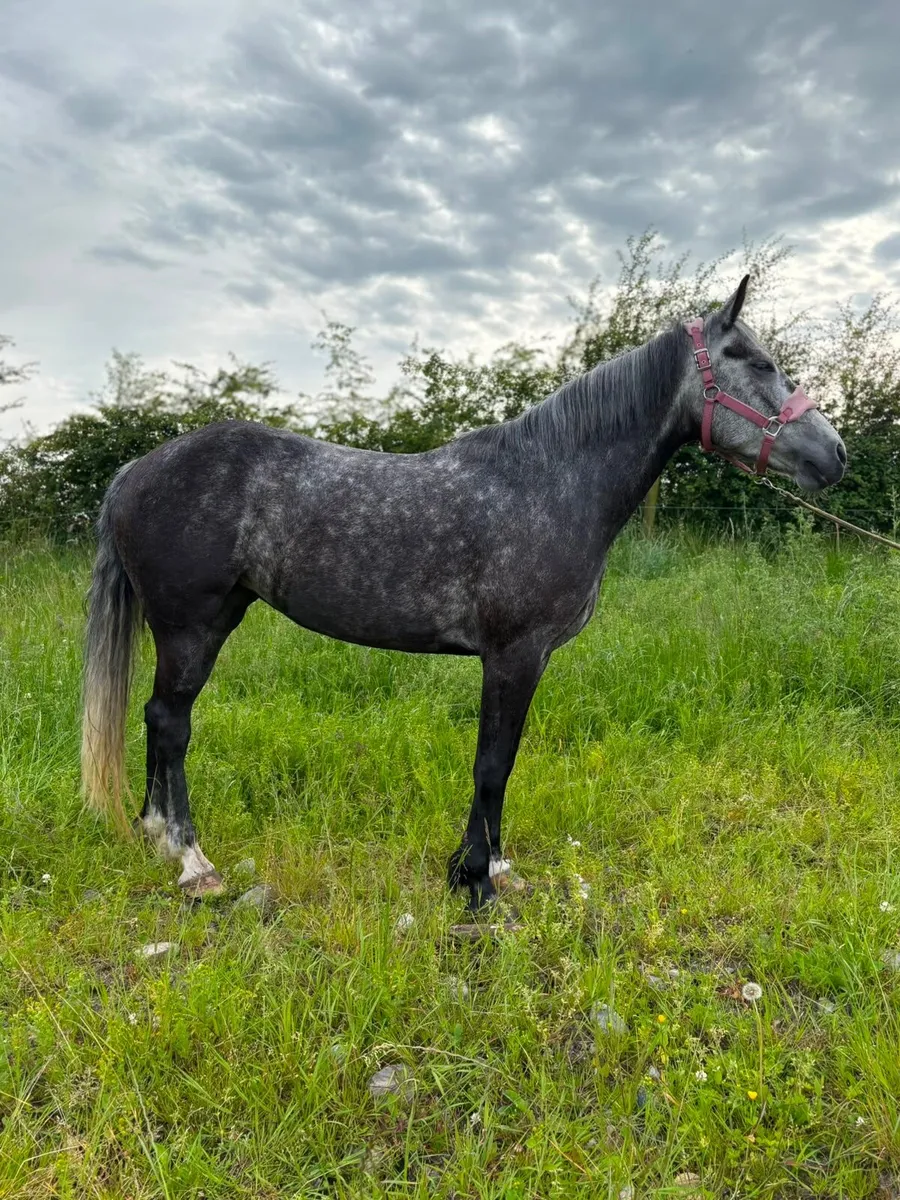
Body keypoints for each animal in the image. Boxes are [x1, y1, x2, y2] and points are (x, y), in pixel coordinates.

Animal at [81, 276, 846, 910]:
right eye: (754, 360)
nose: (834, 455)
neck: (552, 481)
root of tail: (135, 471)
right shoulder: (514, 655)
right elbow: (493, 763)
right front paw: (477, 881)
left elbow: (497, 762)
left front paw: (493, 869)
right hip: (193, 626)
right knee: (169, 723)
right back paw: (191, 862)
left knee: (158, 721)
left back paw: (157, 836)